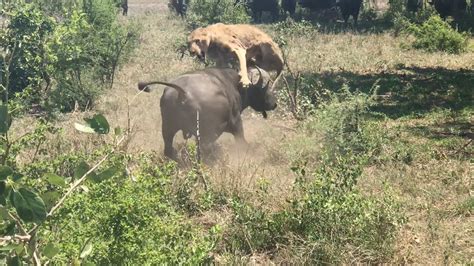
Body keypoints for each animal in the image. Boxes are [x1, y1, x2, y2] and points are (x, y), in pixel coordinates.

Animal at [136, 67, 278, 161]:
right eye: (265, 88)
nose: (274, 103)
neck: (236, 87)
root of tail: (183, 92)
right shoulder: (236, 123)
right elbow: (242, 141)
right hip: (208, 130)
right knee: (206, 147)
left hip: (167, 126)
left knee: (168, 149)